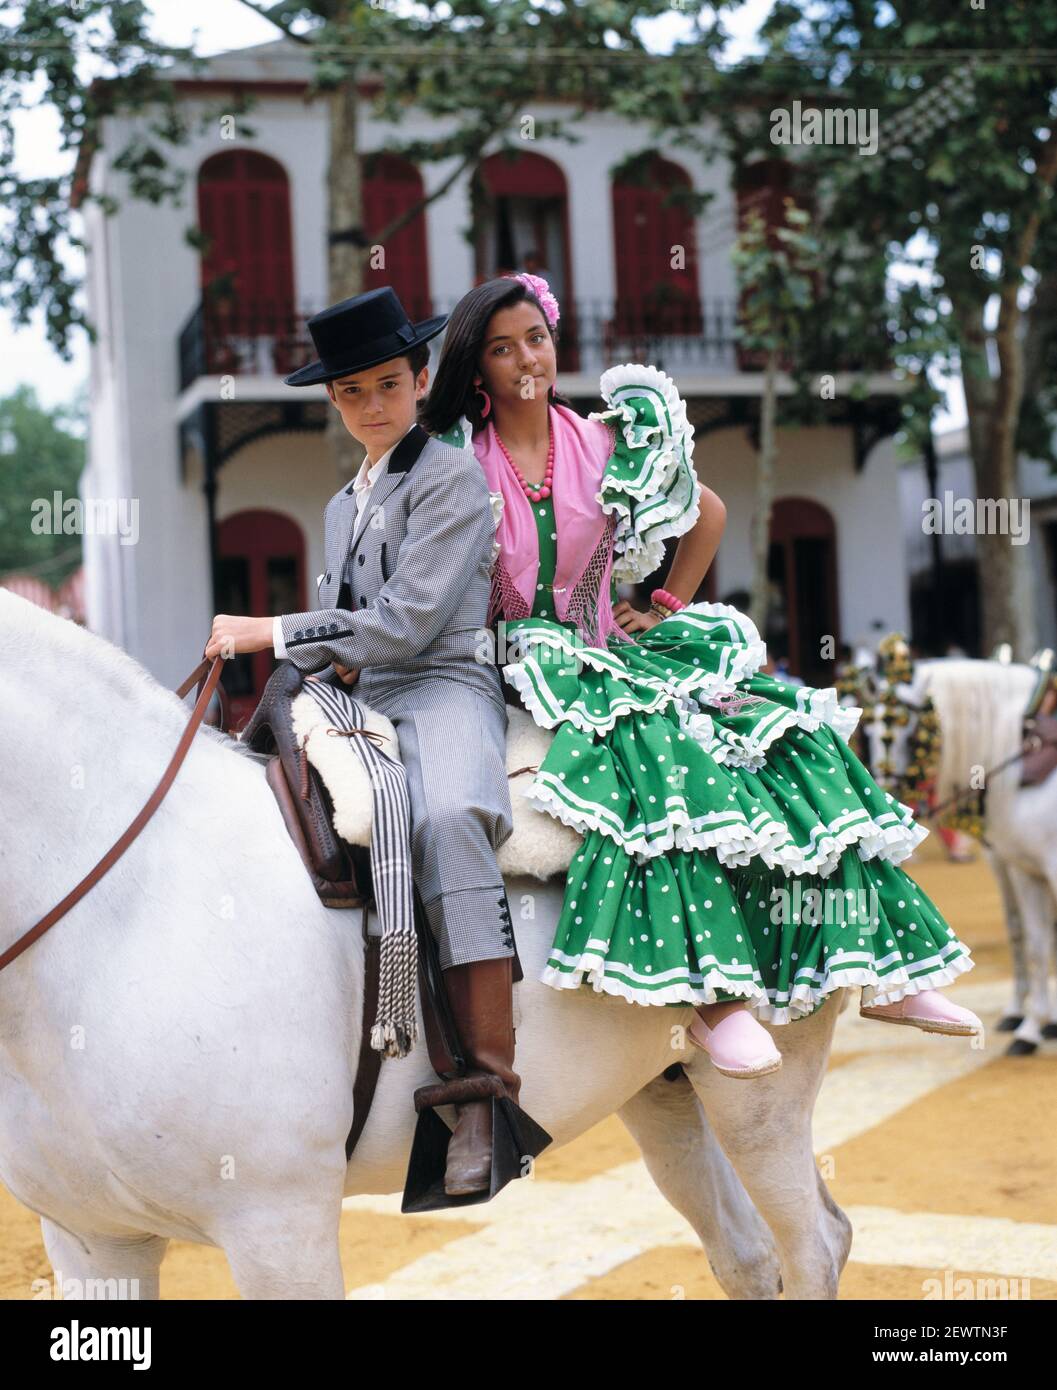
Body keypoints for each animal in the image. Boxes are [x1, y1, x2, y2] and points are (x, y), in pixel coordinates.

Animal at [0, 592, 851, 1295]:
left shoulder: (279, 1229)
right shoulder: (94, 1242)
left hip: (762, 1099)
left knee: (816, 1244)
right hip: (662, 1088)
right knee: (747, 1255)